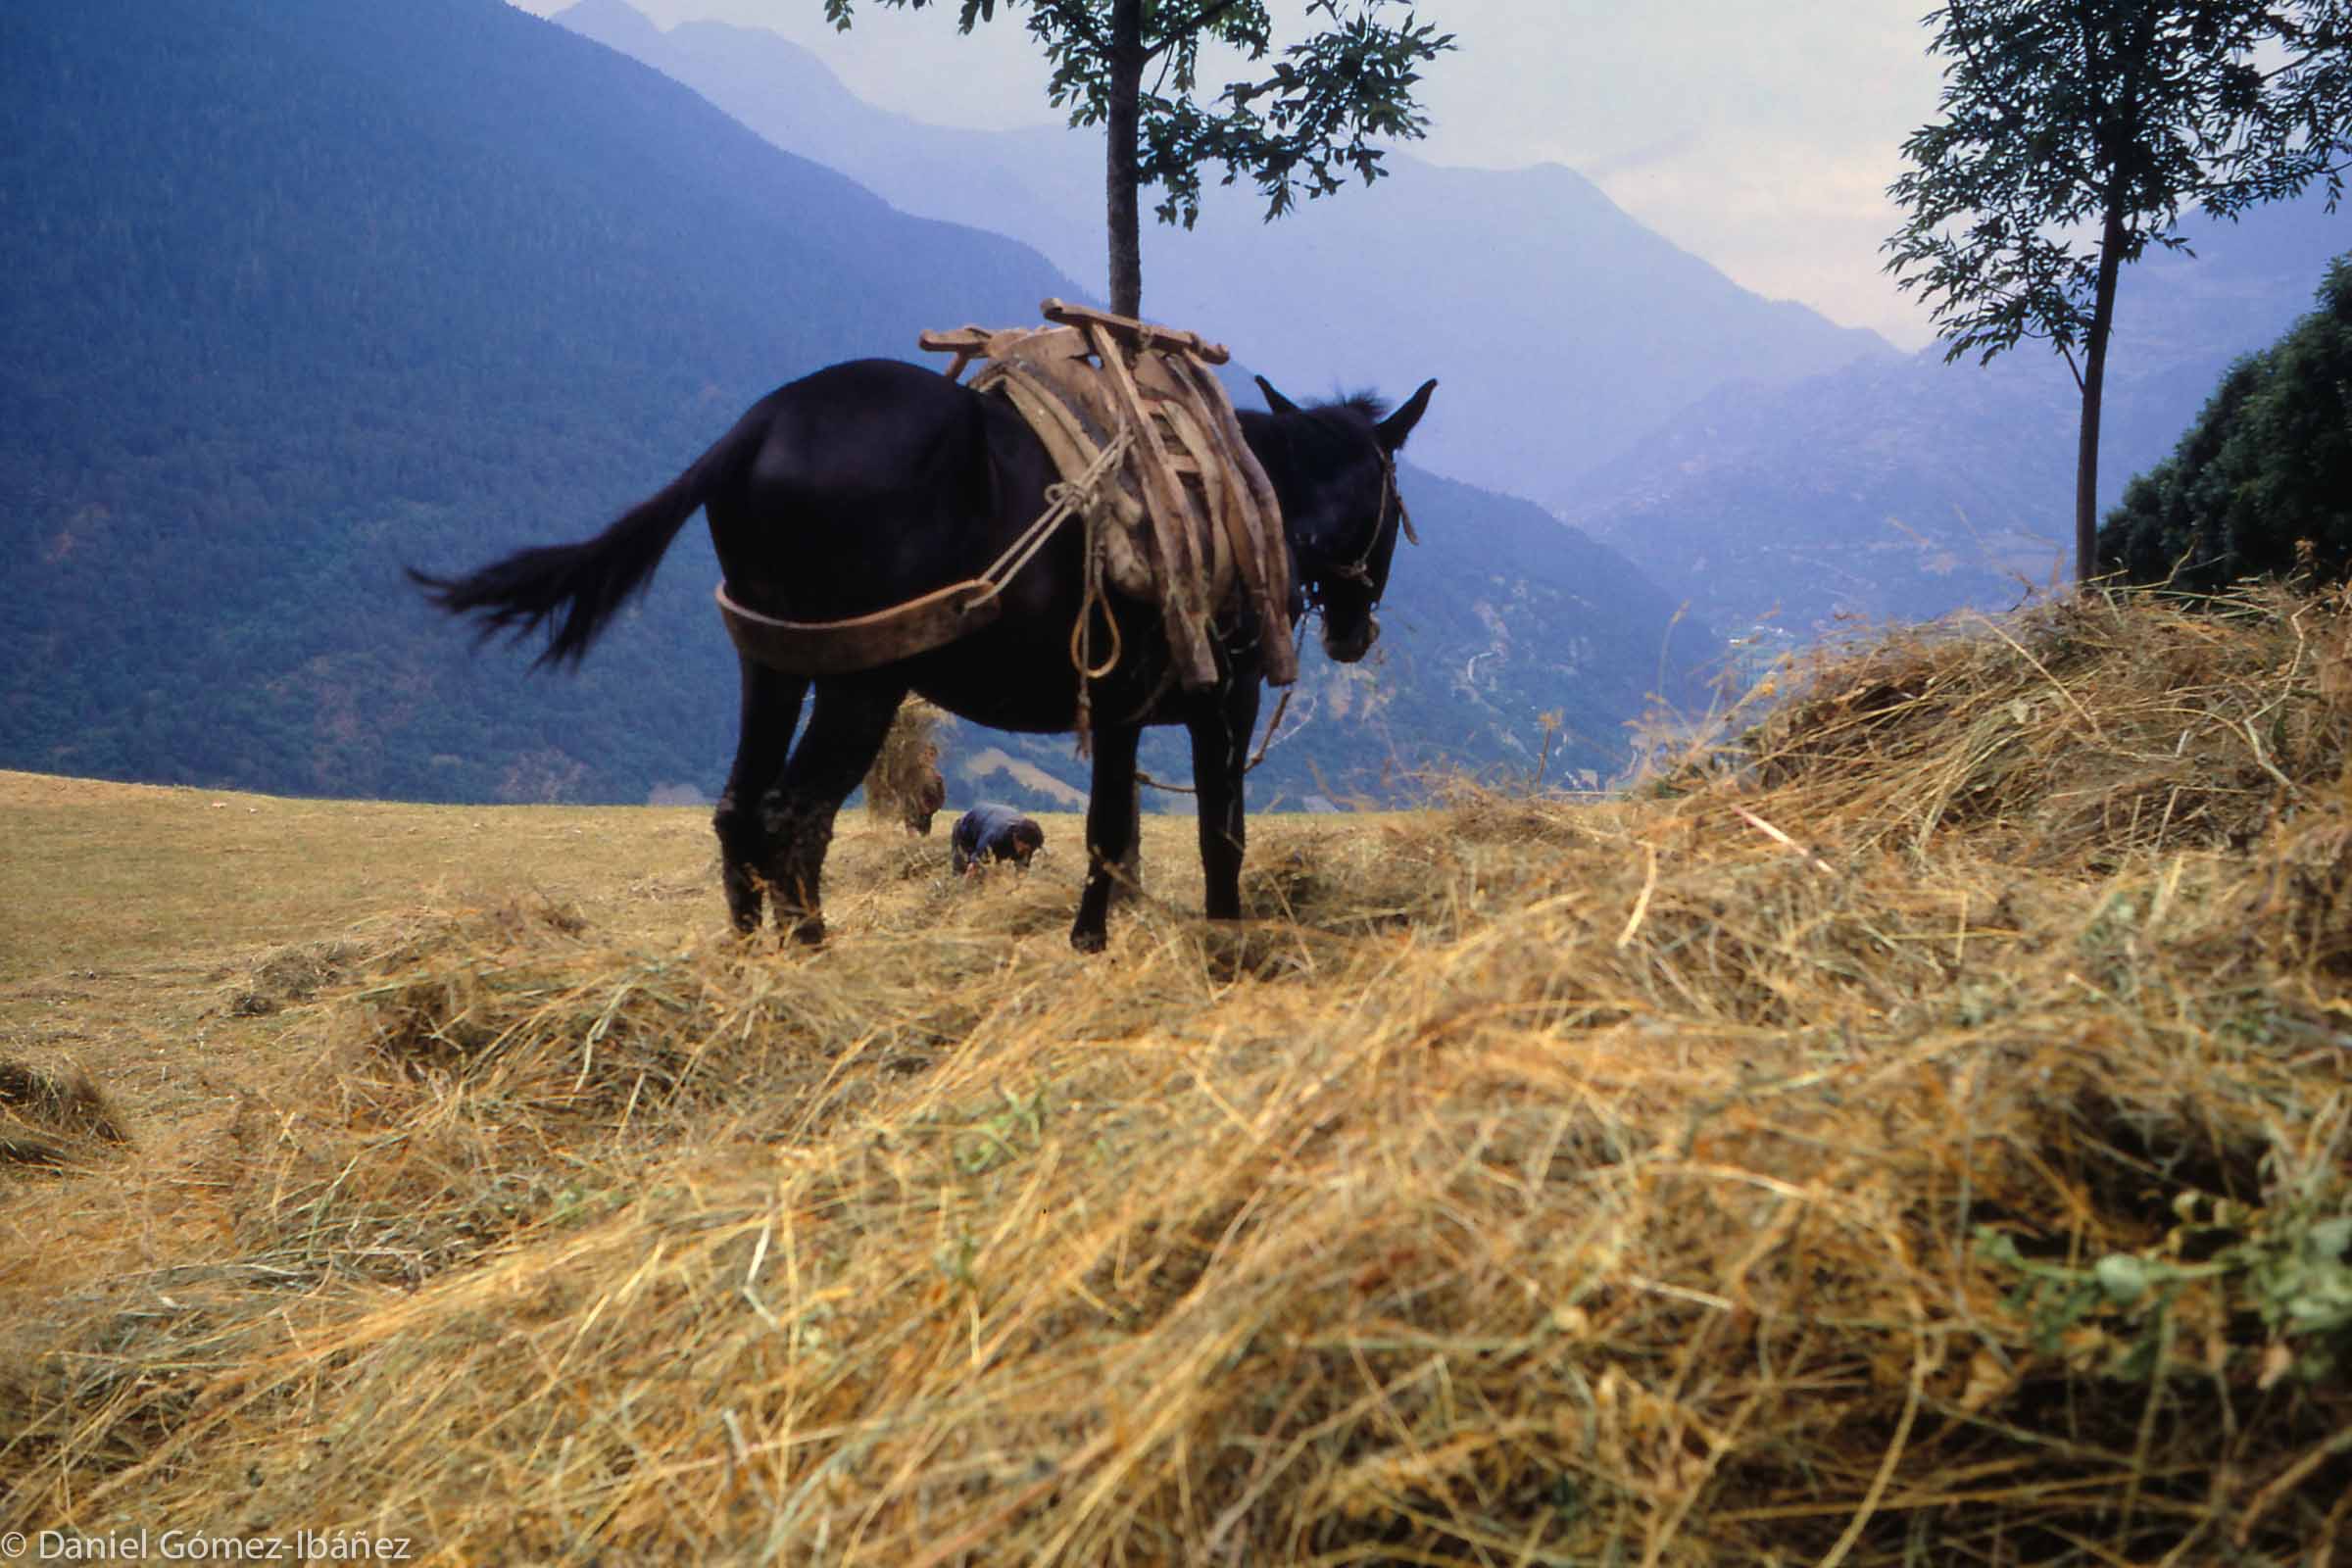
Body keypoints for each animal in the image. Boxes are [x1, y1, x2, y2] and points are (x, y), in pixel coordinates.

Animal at [412, 360, 1420, 945]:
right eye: (1391, 497)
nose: (1354, 629)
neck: (1246, 493)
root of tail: (758, 428)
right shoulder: (1220, 701)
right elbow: (1210, 833)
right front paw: (1216, 939)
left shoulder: (1120, 708)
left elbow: (1116, 831)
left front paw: (1095, 940)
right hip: (862, 682)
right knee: (792, 815)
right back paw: (811, 954)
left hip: (774, 664)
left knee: (739, 810)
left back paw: (747, 961)